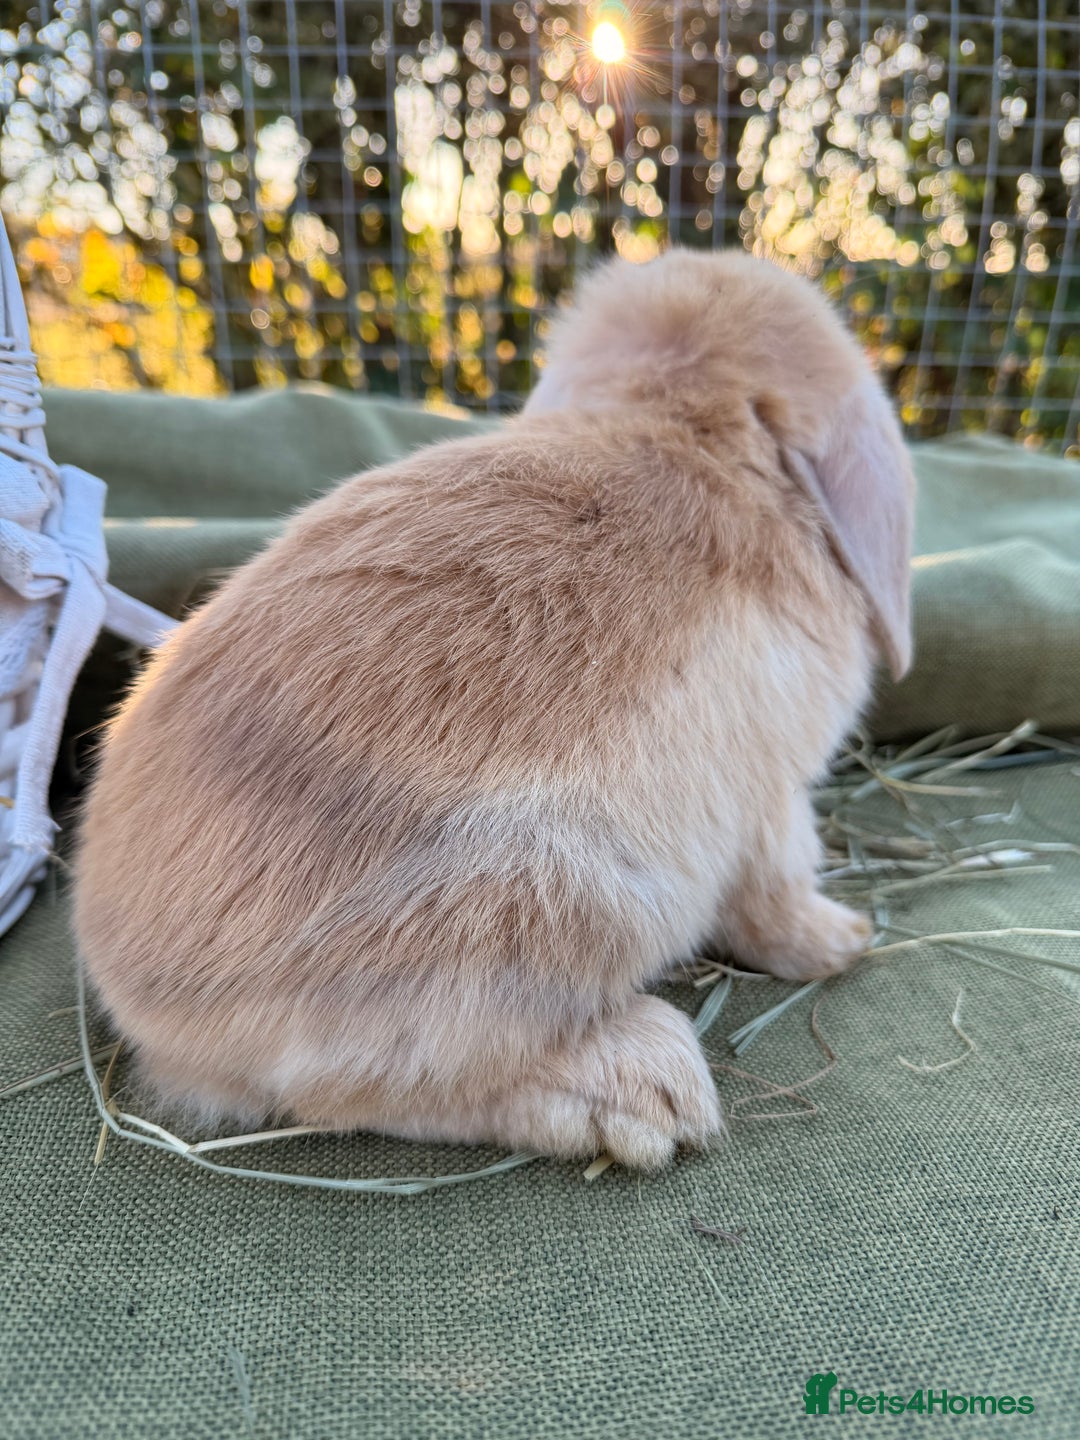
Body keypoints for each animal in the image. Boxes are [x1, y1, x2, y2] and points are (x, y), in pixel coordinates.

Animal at [73, 247, 914, 1172]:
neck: (685, 424)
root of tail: (142, 1000)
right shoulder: (769, 805)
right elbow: (777, 891)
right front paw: (839, 941)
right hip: (541, 909)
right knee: (377, 1087)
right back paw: (645, 1094)